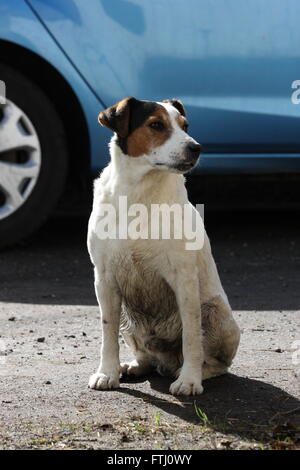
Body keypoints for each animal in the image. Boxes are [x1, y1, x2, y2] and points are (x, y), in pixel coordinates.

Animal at [86, 97, 239, 394]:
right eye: (156, 125)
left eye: (185, 125)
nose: (196, 147)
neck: (138, 194)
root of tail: (165, 361)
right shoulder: (104, 279)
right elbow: (107, 334)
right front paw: (107, 373)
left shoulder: (184, 279)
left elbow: (191, 337)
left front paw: (189, 380)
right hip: (128, 315)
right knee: (145, 355)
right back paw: (133, 366)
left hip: (216, 314)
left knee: (217, 363)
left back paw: (192, 372)